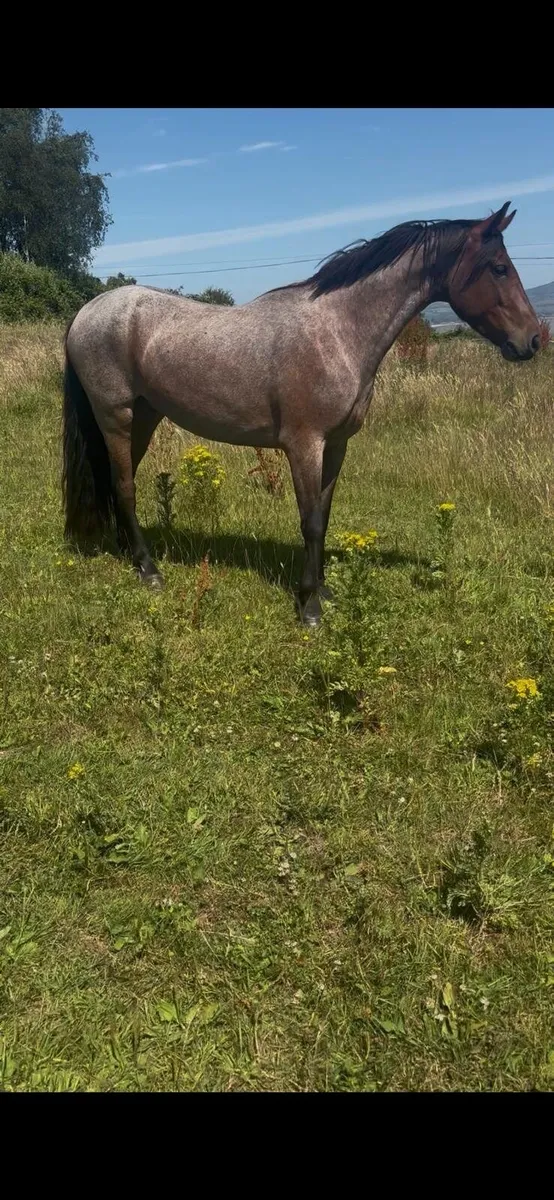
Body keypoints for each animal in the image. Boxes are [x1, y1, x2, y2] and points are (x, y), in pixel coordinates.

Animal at [63, 201, 540, 626]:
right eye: (499, 267)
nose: (534, 339)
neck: (338, 332)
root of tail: (86, 312)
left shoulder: (336, 446)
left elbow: (324, 516)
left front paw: (323, 590)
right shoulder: (304, 446)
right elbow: (309, 521)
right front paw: (309, 607)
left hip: (143, 418)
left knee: (116, 481)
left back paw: (129, 553)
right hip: (118, 417)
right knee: (125, 487)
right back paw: (148, 569)